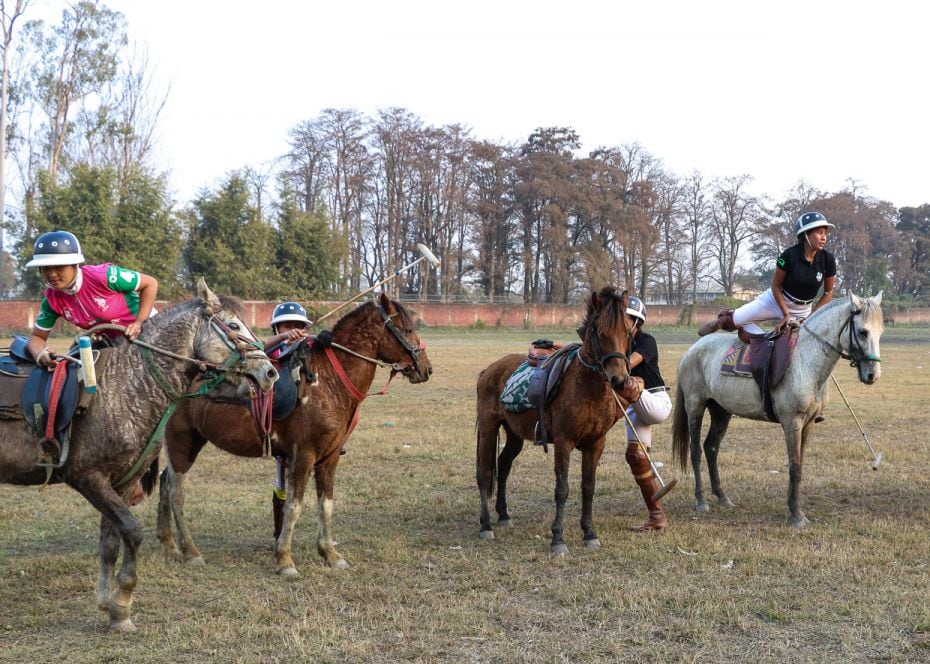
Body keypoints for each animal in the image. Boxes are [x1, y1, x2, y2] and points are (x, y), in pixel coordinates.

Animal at [159, 294, 432, 572]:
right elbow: (294, 506)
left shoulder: (330, 458)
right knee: (175, 491)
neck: (329, 382)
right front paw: (285, 559)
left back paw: (169, 544)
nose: (426, 368)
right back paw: (190, 551)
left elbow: (326, 505)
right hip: (181, 441)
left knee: (163, 481)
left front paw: (330, 553)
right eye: (407, 329)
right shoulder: (304, 456)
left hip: (193, 441)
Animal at [474, 286, 636, 556]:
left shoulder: (595, 444)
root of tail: (489, 369)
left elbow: (588, 487)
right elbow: (562, 489)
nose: (620, 379)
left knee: (504, 465)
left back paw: (504, 515)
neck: (586, 386)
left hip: (514, 434)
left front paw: (589, 533)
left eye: (627, 331)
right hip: (488, 427)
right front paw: (558, 538)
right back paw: (486, 525)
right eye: (599, 332)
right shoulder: (563, 442)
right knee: (485, 473)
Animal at [672, 294, 880, 528]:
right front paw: (796, 516)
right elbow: (795, 467)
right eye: (863, 332)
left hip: (721, 411)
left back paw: (722, 497)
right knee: (695, 451)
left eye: (880, 331)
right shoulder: (792, 423)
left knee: (711, 448)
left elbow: (799, 465)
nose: (872, 375)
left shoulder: (808, 424)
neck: (806, 361)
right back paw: (701, 500)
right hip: (695, 407)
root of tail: (691, 351)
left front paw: (793, 509)